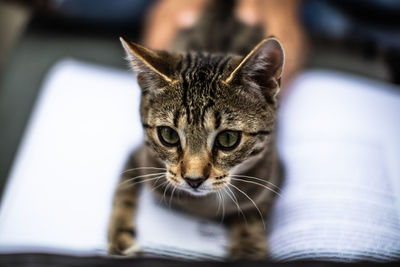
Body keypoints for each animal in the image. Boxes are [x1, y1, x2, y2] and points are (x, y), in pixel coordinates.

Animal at [107, 0, 284, 260]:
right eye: (168, 135)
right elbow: (123, 194)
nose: (193, 179)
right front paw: (120, 239)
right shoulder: (138, 156)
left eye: (228, 138)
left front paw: (248, 249)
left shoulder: (273, 173)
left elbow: (252, 215)